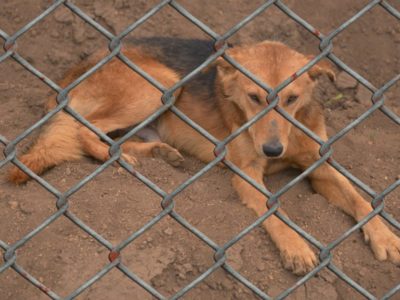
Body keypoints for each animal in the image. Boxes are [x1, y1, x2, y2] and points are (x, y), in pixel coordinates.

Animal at [7, 38, 398, 276]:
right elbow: (274, 212)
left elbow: (360, 200)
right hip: (161, 85)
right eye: (254, 97)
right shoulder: (247, 173)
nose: (272, 150)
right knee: (84, 129)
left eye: (291, 99)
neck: (289, 132)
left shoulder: (318, 166)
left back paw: (159, 152)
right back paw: (119, 159)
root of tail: (70, 75)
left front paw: (386, 238)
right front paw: (295, 246)